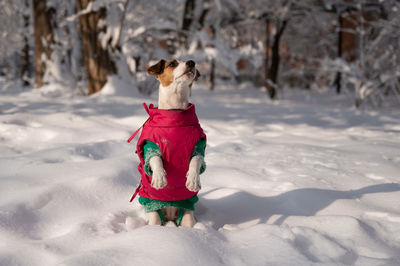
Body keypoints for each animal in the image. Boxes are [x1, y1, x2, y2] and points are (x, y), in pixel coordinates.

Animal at [134, 59, 205, 228]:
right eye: (172, 63)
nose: (191, 62)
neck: (175, 113)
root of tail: (170, 216)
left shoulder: (198, 146)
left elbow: (196, 159)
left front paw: (193, 180)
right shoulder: (149, 144)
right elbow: (155, 158)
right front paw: (159, 177)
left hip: (187, 215)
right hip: (154, 212)